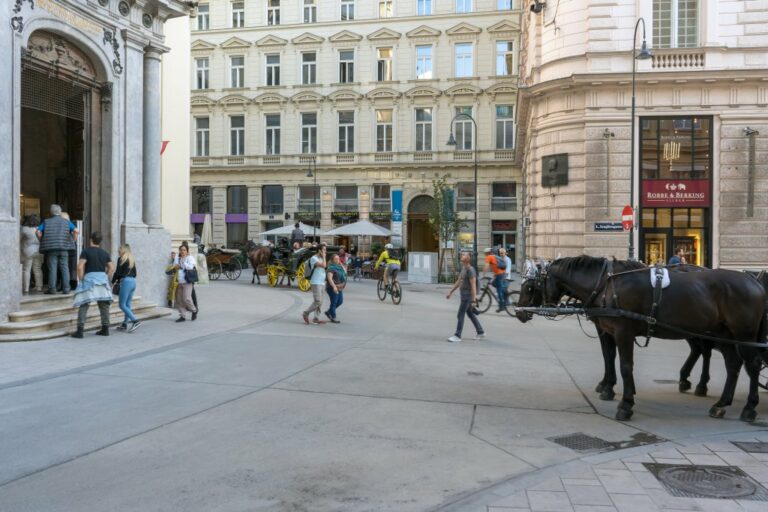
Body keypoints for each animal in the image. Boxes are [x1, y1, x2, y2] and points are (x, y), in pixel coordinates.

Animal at [516, 254, 768, 422]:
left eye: (530, 286)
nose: (518, 313)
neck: (607, 284)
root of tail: (755, 281)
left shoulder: (623, 332)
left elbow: (625, 365)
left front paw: (625, 404)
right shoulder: (607, 329)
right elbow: (609, 357)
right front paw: (609, 387)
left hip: (743, 335)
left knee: (752, 365)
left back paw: (749, 407)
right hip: (724, 334)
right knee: (731, 364)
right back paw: (720, 402)